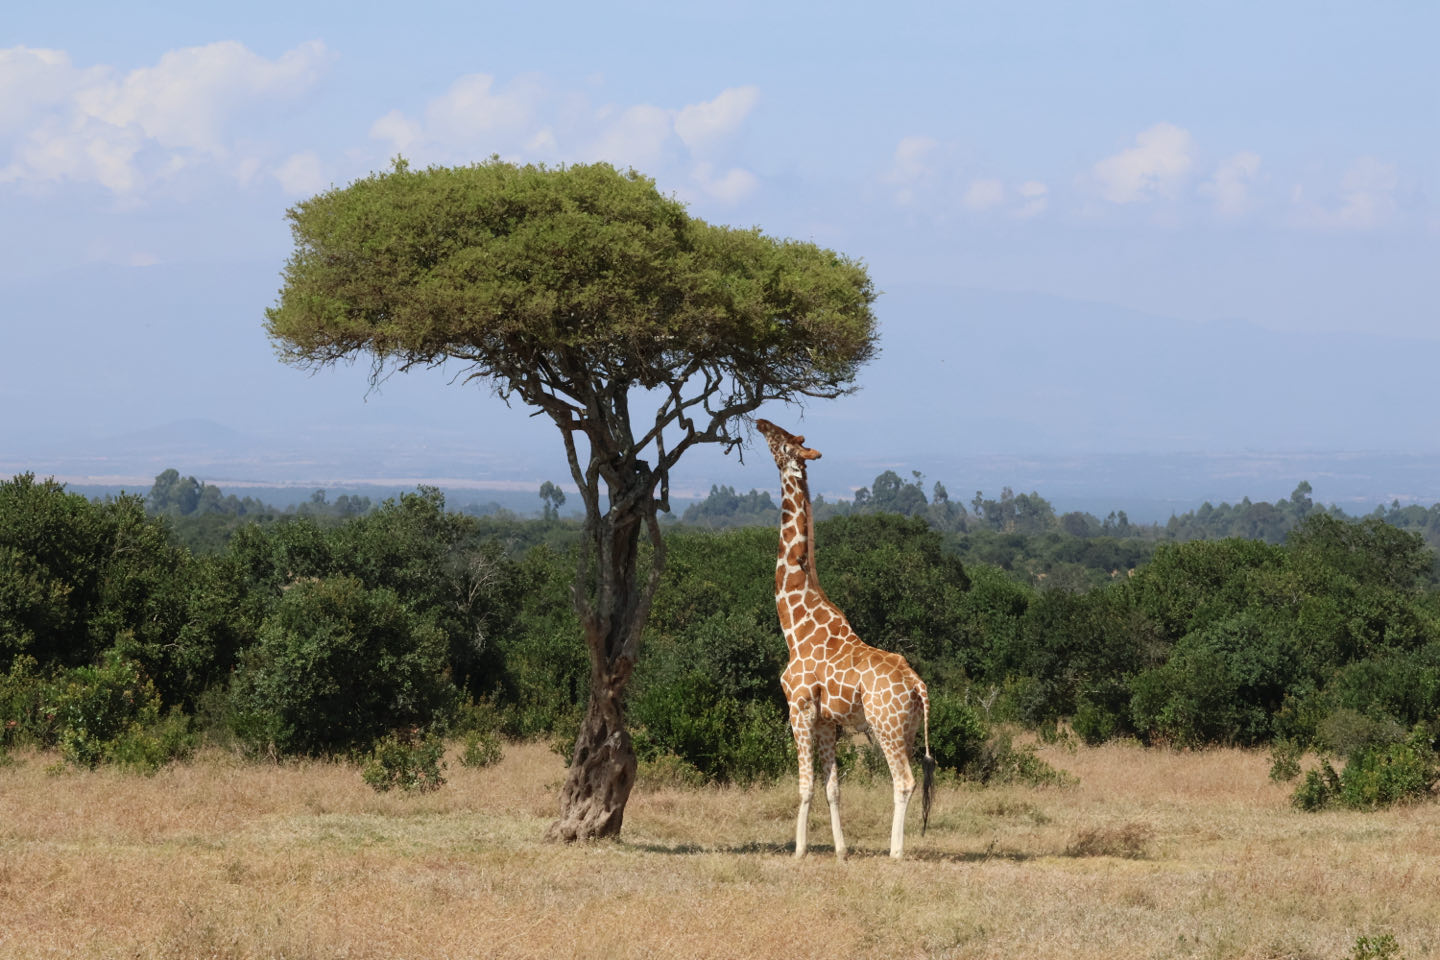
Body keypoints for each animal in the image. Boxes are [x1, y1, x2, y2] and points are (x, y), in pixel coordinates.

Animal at [755, 418, 935, 860]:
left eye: (782, 440)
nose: (760, 421)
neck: (795, 627)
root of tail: (919, 686)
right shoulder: (826, 722)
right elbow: (832, 788)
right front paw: (840, 850)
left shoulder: (799, 709)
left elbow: (804, 786)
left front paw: (800, 850)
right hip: (907, 729)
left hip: (886, 726)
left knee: (903, 781)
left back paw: (895, 851)